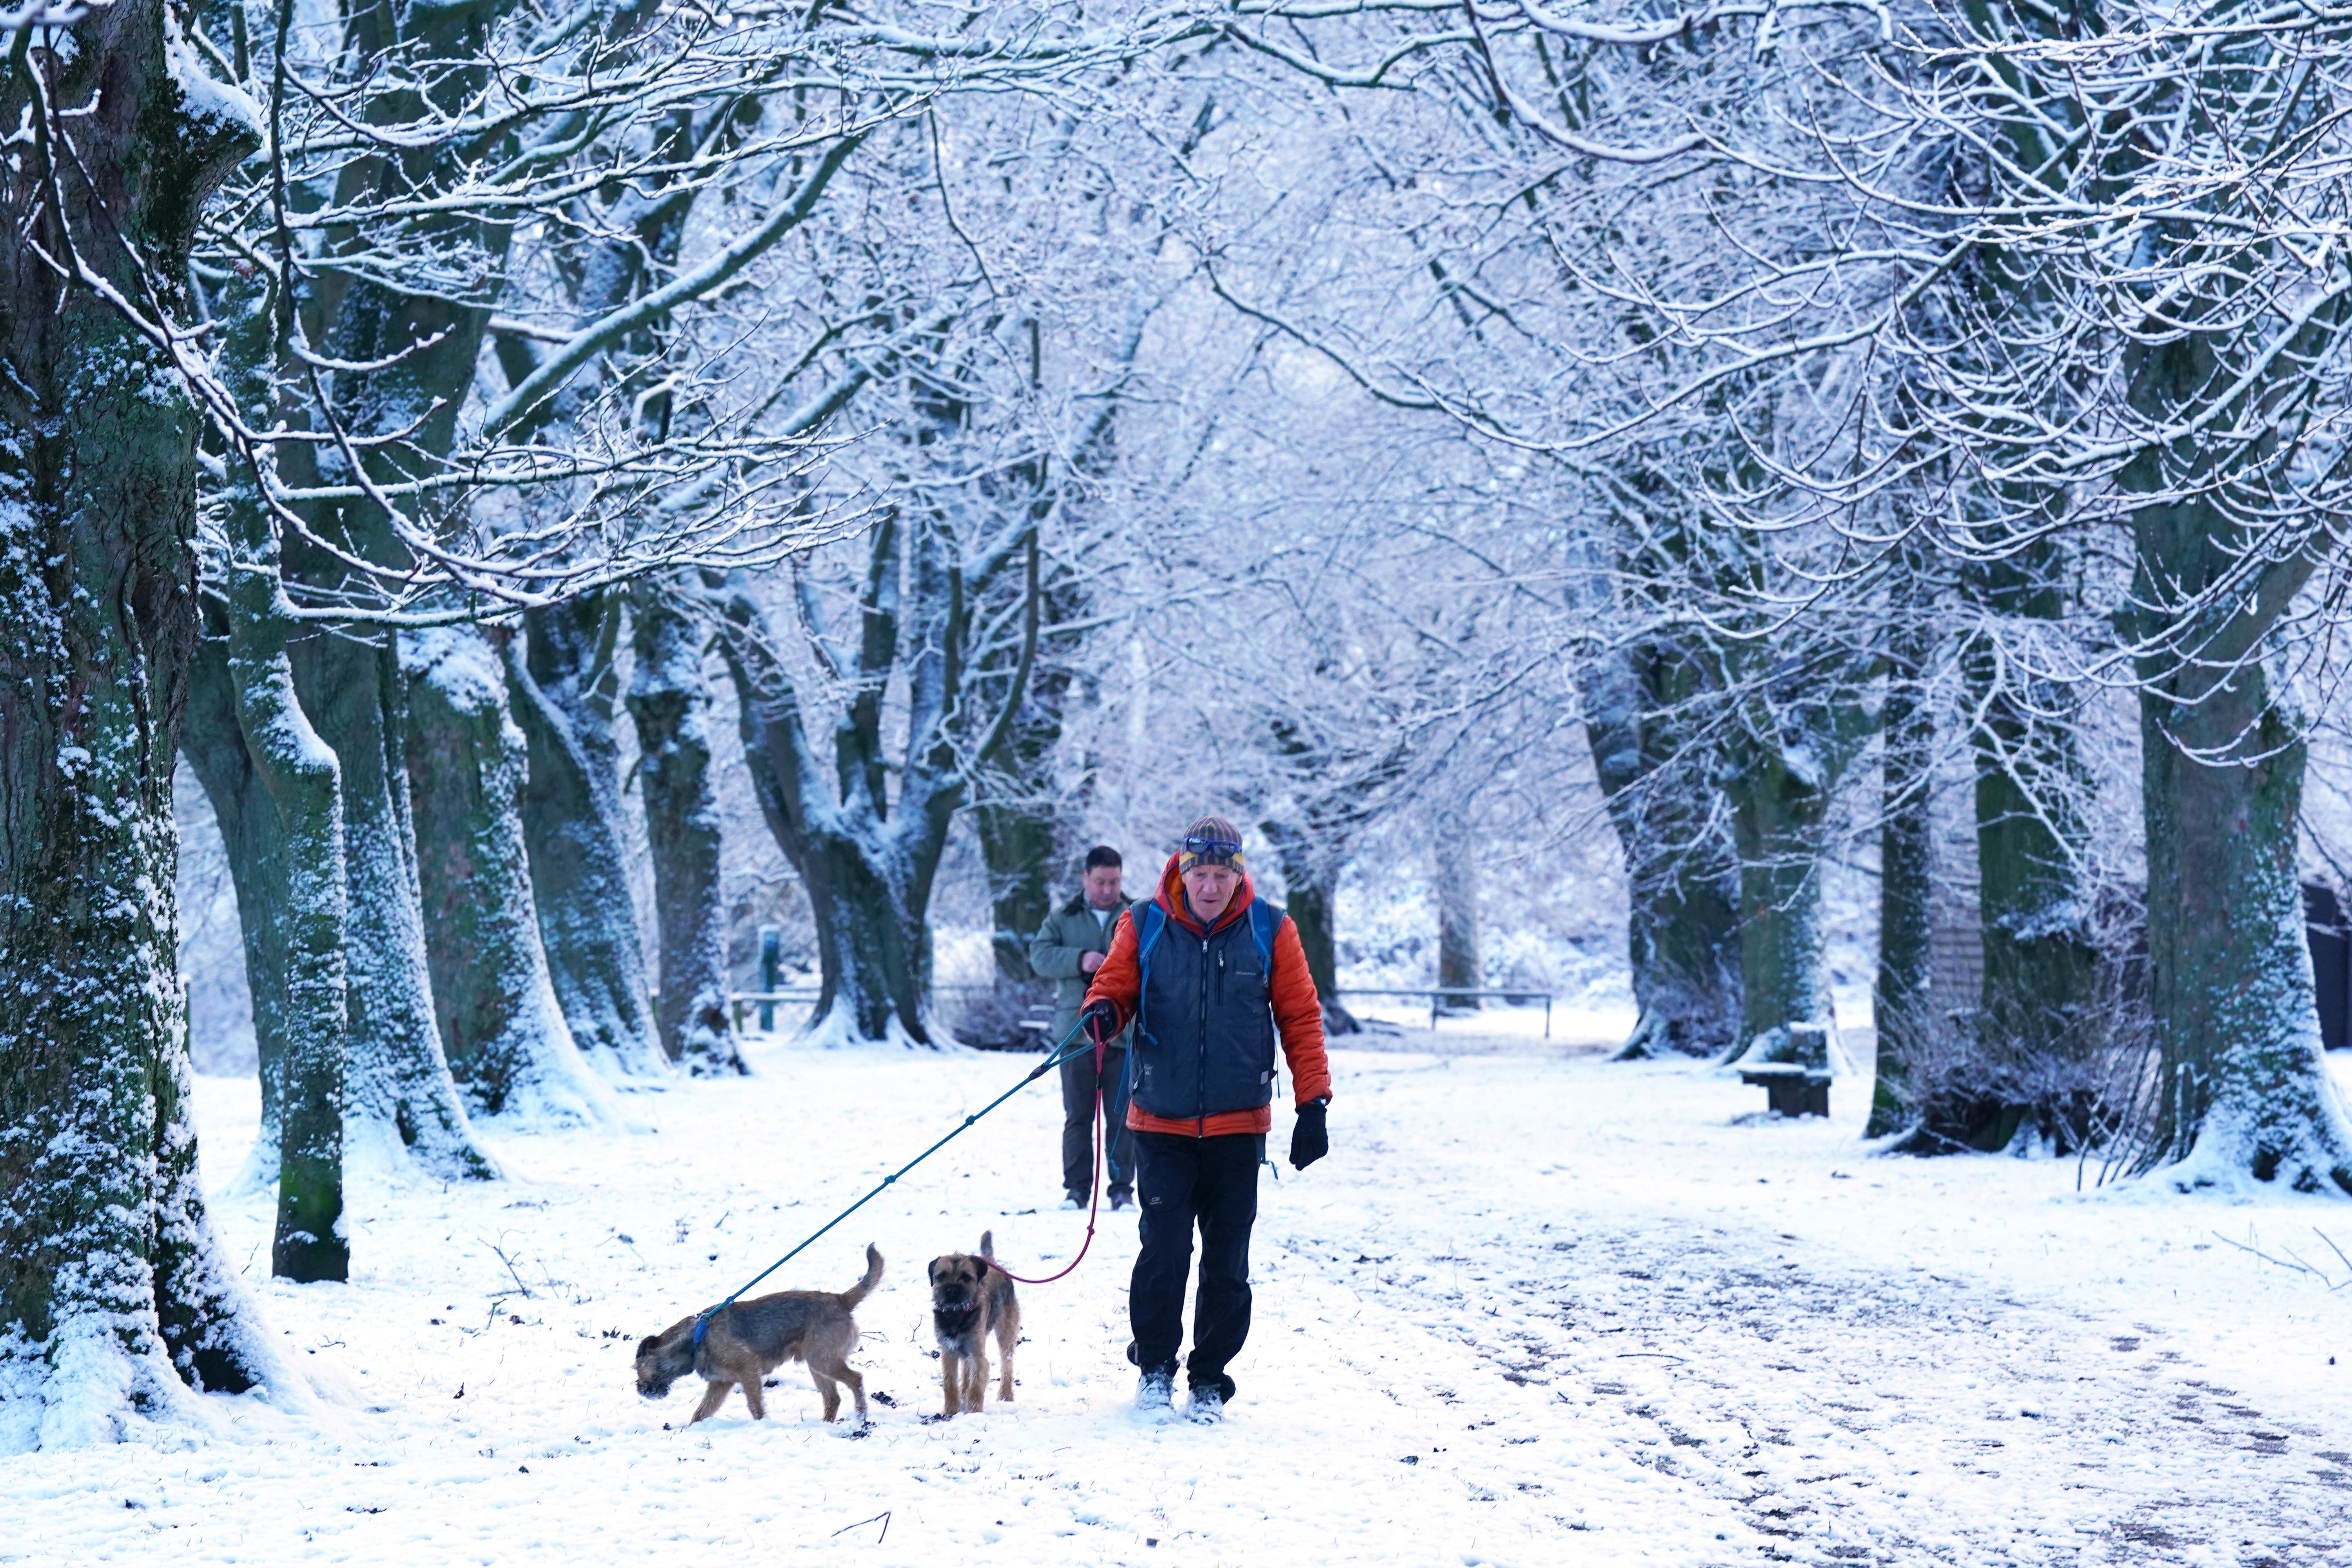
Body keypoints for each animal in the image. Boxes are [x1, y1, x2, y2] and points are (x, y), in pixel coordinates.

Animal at [635, 1241, 884, 1429]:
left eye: (638, 1368)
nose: (639, 1389)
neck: (696, 1339)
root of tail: (841, 1300)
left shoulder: (748, 1369)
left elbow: (755, 1405)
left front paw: (762, 1424)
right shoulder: (720, 1384)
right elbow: (701, 1412)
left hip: (823, 1360)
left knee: (856, 1380)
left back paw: (860, 1416)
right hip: (817, 1364)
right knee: (833, 1397)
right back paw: (826, 1425)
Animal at [927, 1232, 1021, 1420]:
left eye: (966, 1277)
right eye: (941, 1276)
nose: (952, 1291)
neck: (957, 1314)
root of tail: (992, 1262)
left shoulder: (978, 1353)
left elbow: (977, 1384)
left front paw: (975, 1413)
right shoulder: (949, 1352)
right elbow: (950, 1383)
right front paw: (951, 1412)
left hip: (1006, 1332)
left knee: (1007, 1364)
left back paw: (1006, 1397)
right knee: (966, 1371)